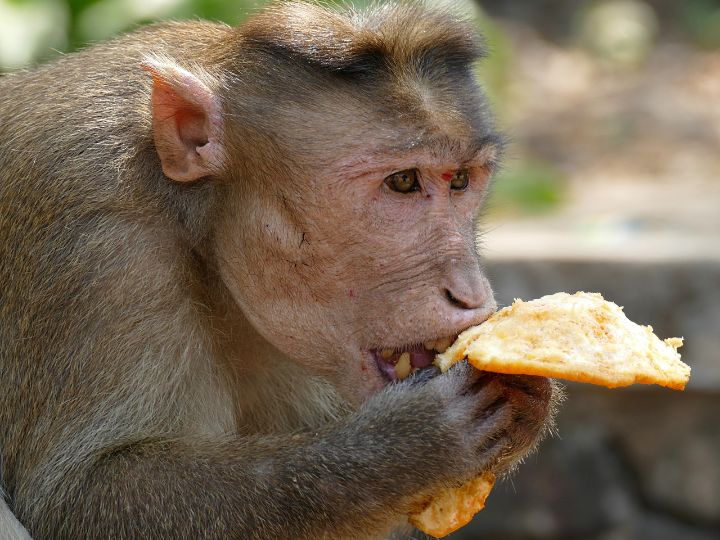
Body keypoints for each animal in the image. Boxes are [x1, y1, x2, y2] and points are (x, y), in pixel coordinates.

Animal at [0, 2, 556, 536]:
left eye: (460, 180)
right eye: (403, 181)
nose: (470, 292)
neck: (196, 219)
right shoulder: (93, 237)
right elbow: (82, 492)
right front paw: (408, 446)